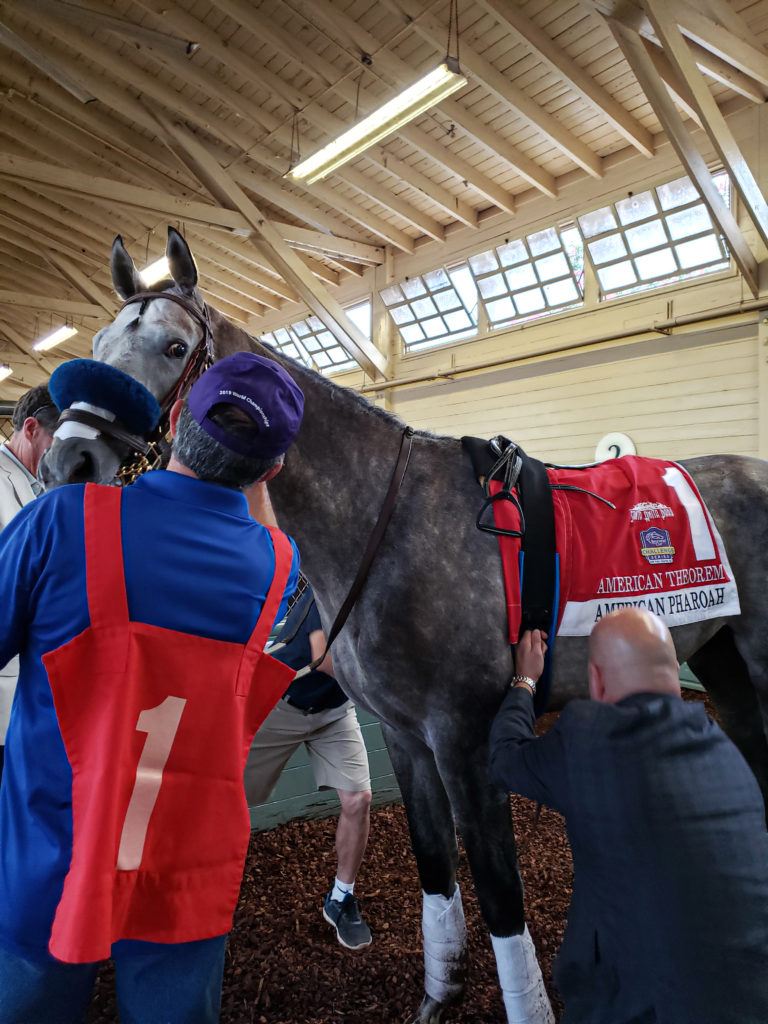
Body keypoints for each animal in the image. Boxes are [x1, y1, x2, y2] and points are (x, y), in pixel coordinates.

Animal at [40, 230, 768, 1024]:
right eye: (99, 343)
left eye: (174, 348)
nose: (70, 457)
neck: (388, 524)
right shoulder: (405, 737)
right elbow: (436, 876)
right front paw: (437, 996)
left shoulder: (466, 742)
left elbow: (500, 899)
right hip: (725, 666)